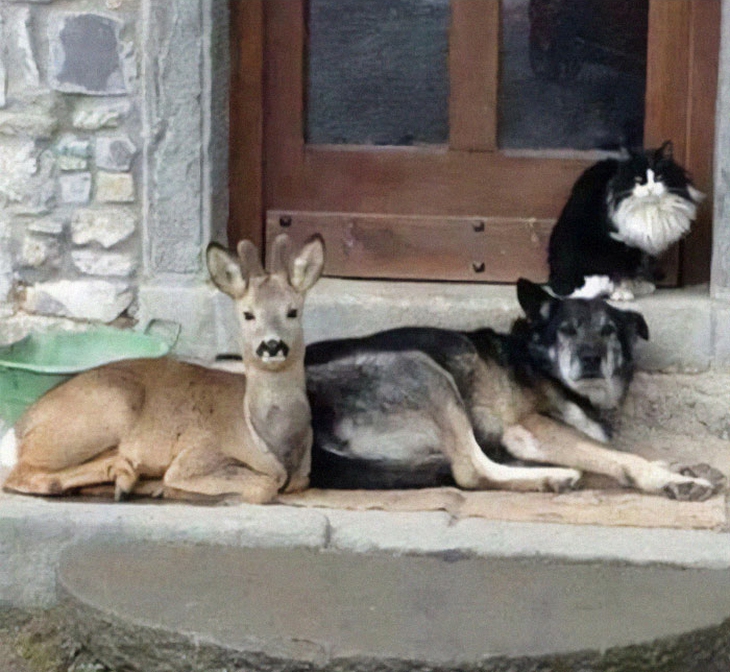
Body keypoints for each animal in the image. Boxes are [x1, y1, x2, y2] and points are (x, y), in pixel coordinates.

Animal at [2, 234, 325, 503]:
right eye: (248, 314)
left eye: (292, 311)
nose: (272, 345)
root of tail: (19, 429)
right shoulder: (198, 453)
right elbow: (263, 486)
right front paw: (177, 488)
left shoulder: (303, 476)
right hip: (107, 409)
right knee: (21, 474)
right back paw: (125, 476)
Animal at [305, 280, 723, 500]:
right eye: (566, 330)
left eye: (608, 331)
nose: (589, 359)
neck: (541, 363)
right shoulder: (532, 428)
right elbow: (622, 458)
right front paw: (674, 479)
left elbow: (614, 453)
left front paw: (677, 466)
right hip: (424, 370)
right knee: (470, 470)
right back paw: (551, 477)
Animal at [547, 141, 704, 300]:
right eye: (639, 180)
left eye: (659, 177)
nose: (650, 189)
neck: (649, 209)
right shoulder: (618, 243)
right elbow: (620, 271)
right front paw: (622, 293)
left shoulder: (641, 246)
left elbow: (633, 270)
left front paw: (637, 287)